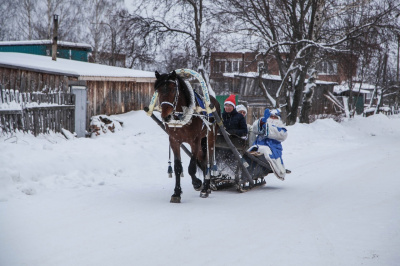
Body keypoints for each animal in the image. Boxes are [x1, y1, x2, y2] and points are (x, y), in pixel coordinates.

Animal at [154, 69, 222, 203]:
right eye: (158, 90)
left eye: (173, 89)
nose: (166, 117)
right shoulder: (174, 141)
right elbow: (177, 167)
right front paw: (176, 193)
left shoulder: (194, 141)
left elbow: (192, 167)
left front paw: (197, 183)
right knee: (203, 159)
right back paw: (207, 186)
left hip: (210, 136)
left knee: (209, 160)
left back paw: (206, 187)